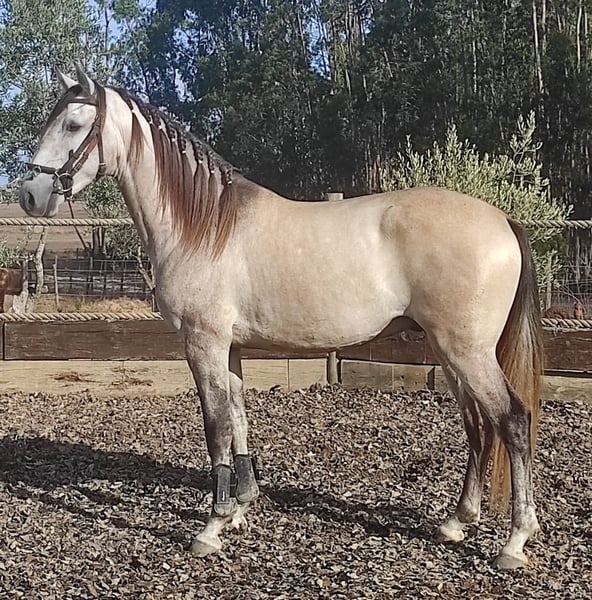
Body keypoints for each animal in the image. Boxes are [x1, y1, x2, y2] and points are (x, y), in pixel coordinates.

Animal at [18, 66, 543, 570]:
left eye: (74, 124)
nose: (29, 195)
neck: (203, 225)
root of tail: (503, 220)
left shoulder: (203, 344)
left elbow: (216, 428)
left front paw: (211, 526)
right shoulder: (229, 348)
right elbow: (239, 419)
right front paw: (241, 508)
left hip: (468, 352)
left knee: (512, 420)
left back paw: (515, 541)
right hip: (451, 352)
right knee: (478, 424)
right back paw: (457, 522)